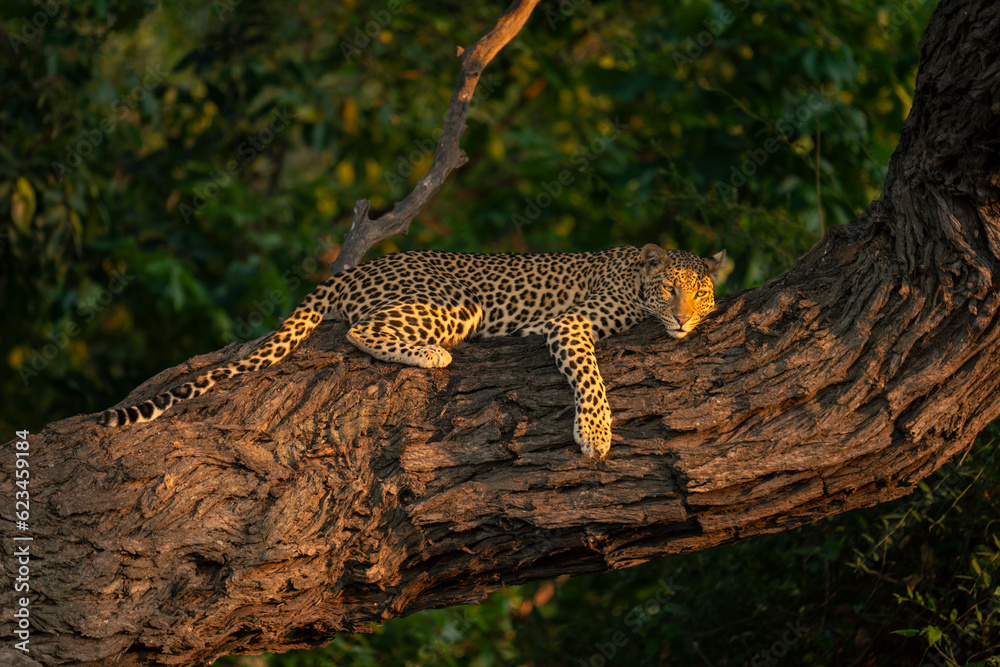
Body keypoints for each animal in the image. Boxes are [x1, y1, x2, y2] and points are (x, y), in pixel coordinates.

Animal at [101, 245, 724, 460]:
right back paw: (433, 356)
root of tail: (357, 269)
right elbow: (590, 379)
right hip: (455, 302)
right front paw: (595, 433)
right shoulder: (570, 323)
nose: (684, 317)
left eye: (700, 291)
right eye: (670, 289)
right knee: (359, 332)